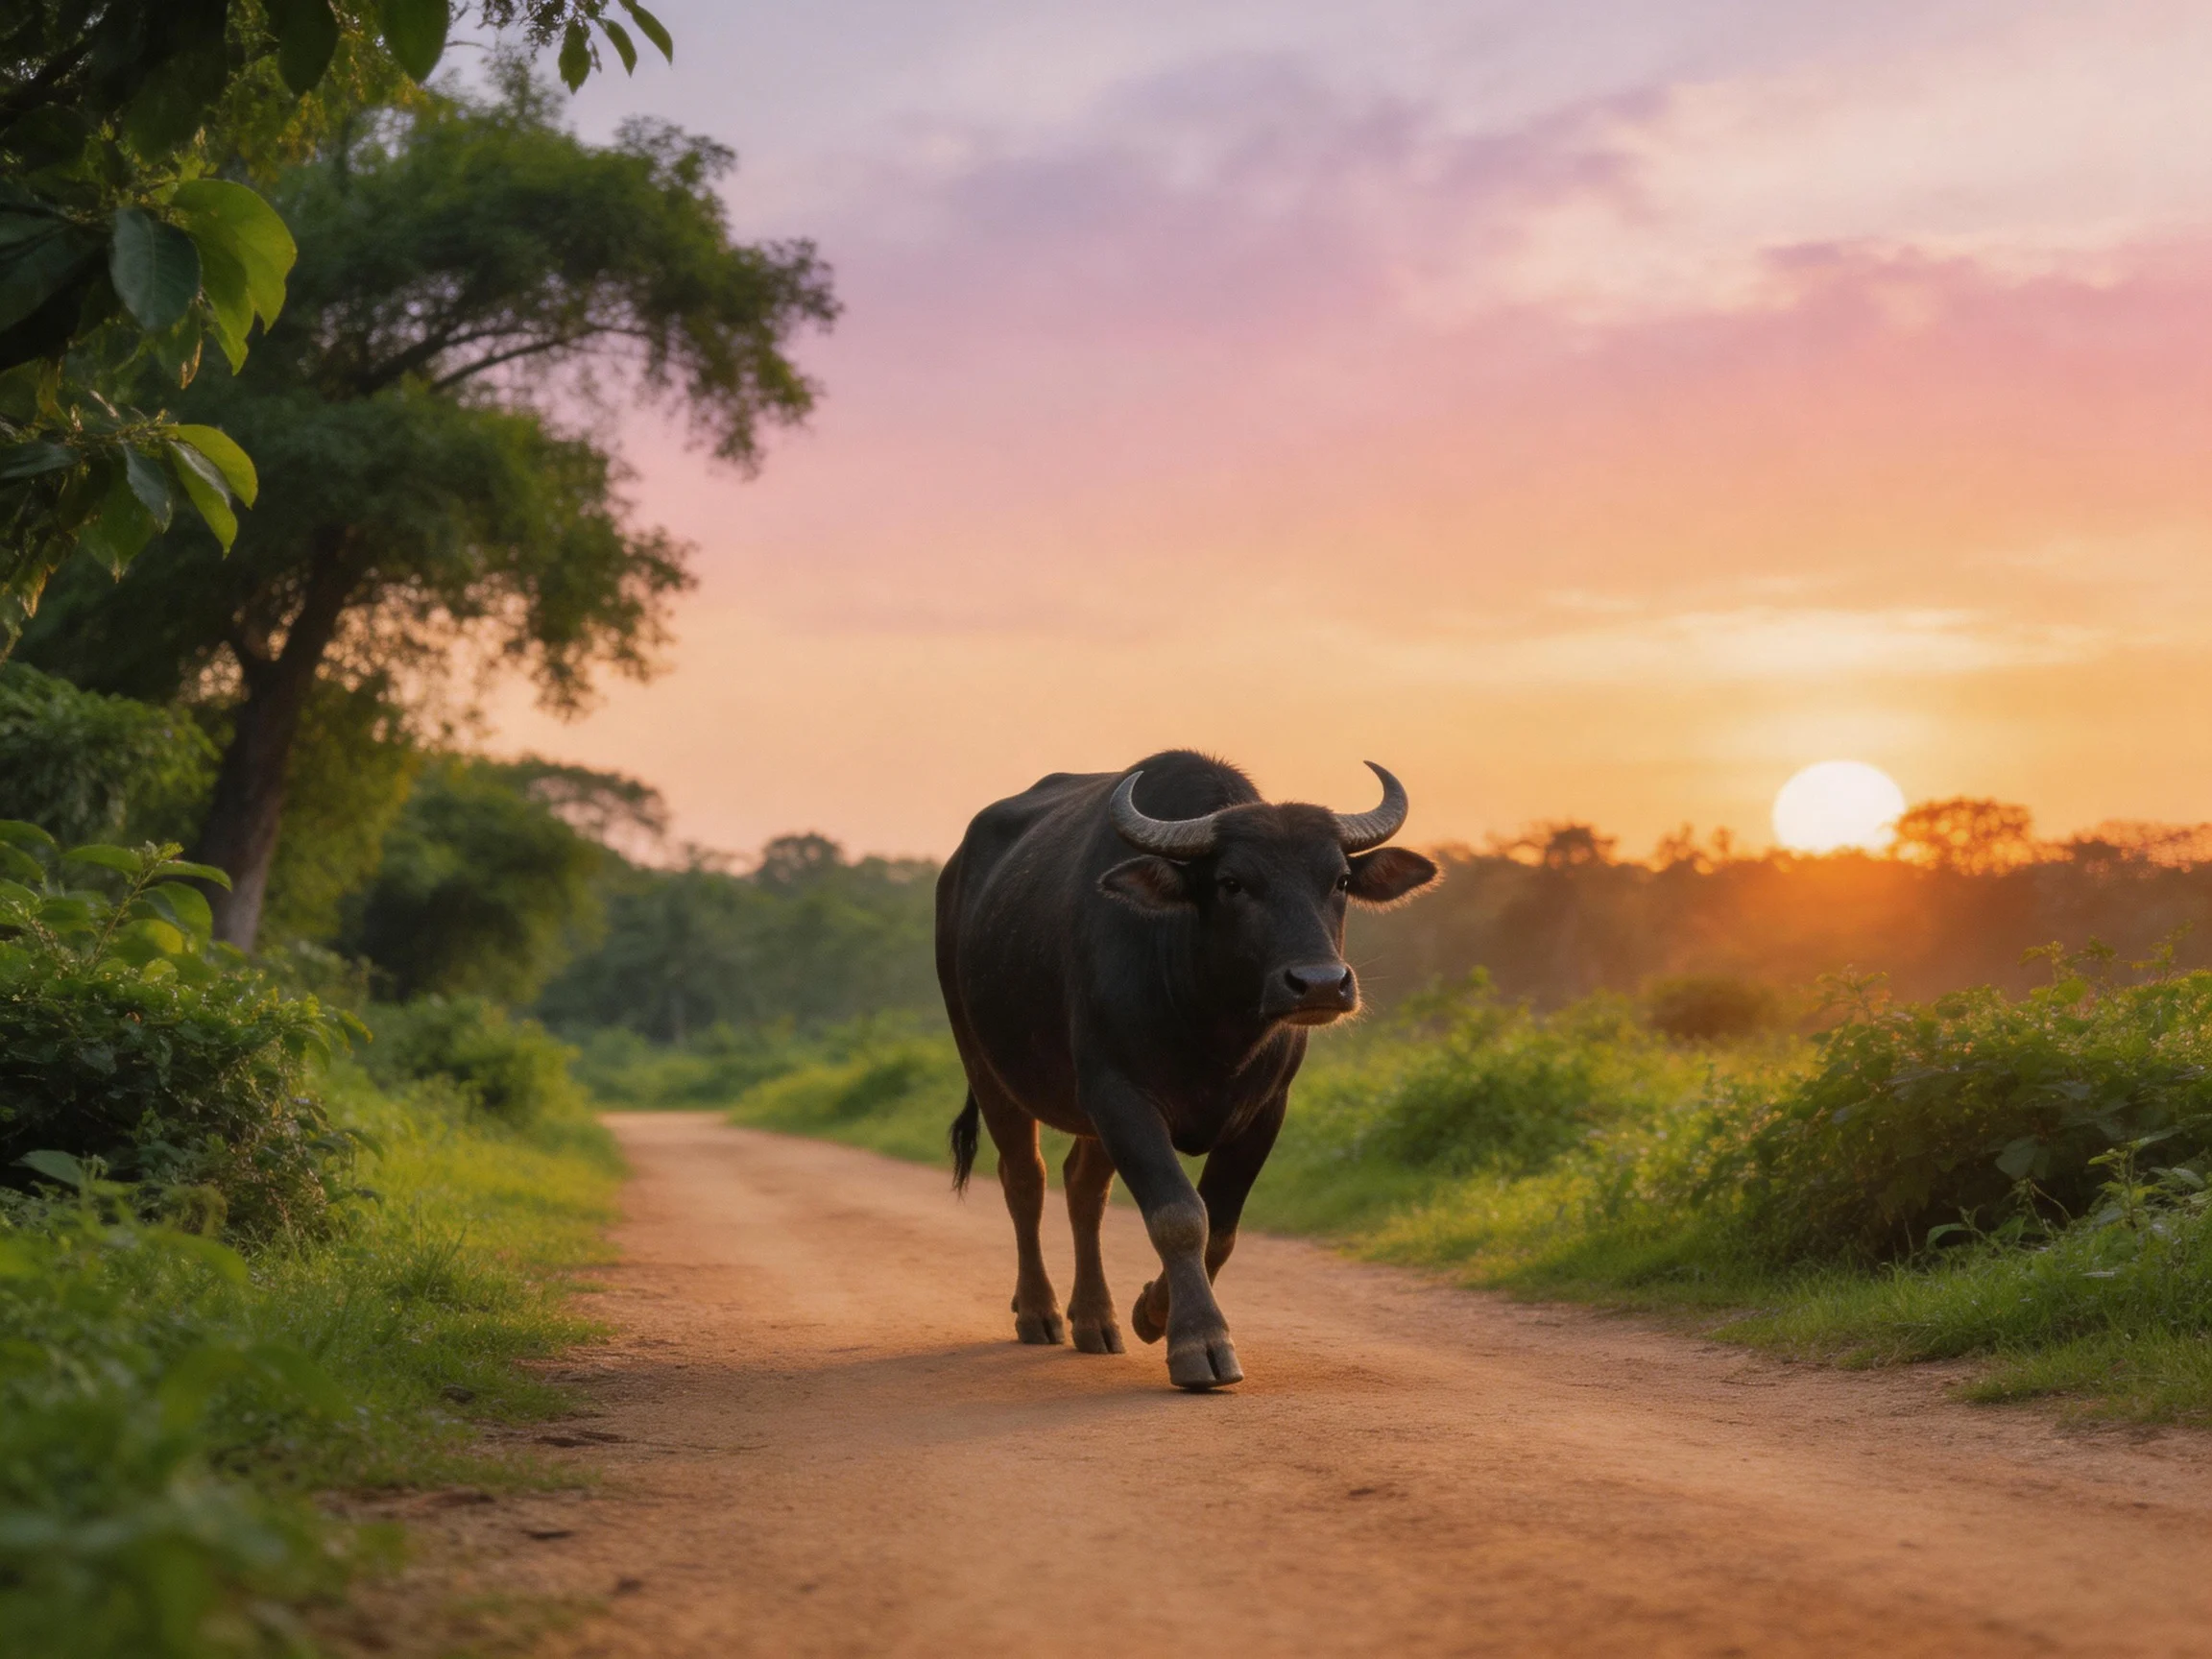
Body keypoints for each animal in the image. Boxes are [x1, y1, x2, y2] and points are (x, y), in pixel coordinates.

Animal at [936, 750, 1439, 1390]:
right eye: (1232, 883)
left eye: (1340, 881)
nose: (1321, 984)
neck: (1210, 1022)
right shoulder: (1120, 1094)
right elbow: (1178, 1214)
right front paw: (1200, 1342)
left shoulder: (1266, 1110)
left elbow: (1219, 1227)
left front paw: (1152, 1310)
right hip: (984, 1063)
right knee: (1026, 1178)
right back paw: (1039, 1312)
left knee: (1083, 1188)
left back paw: (1095, 1319)